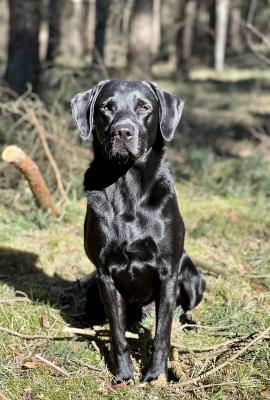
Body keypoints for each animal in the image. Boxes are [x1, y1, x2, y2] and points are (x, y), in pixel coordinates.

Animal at [71, 80, 205, 384]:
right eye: (106, 107)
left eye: (144, 107)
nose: (123, 131)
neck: (127, 185)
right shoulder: (105, 274)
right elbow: (117, 332)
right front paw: (123, 375)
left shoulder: (167, 273)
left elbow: (162, 332)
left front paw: (155, 375)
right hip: (92, 293)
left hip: (192, 278)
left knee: (186, 309)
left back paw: (190, 323)